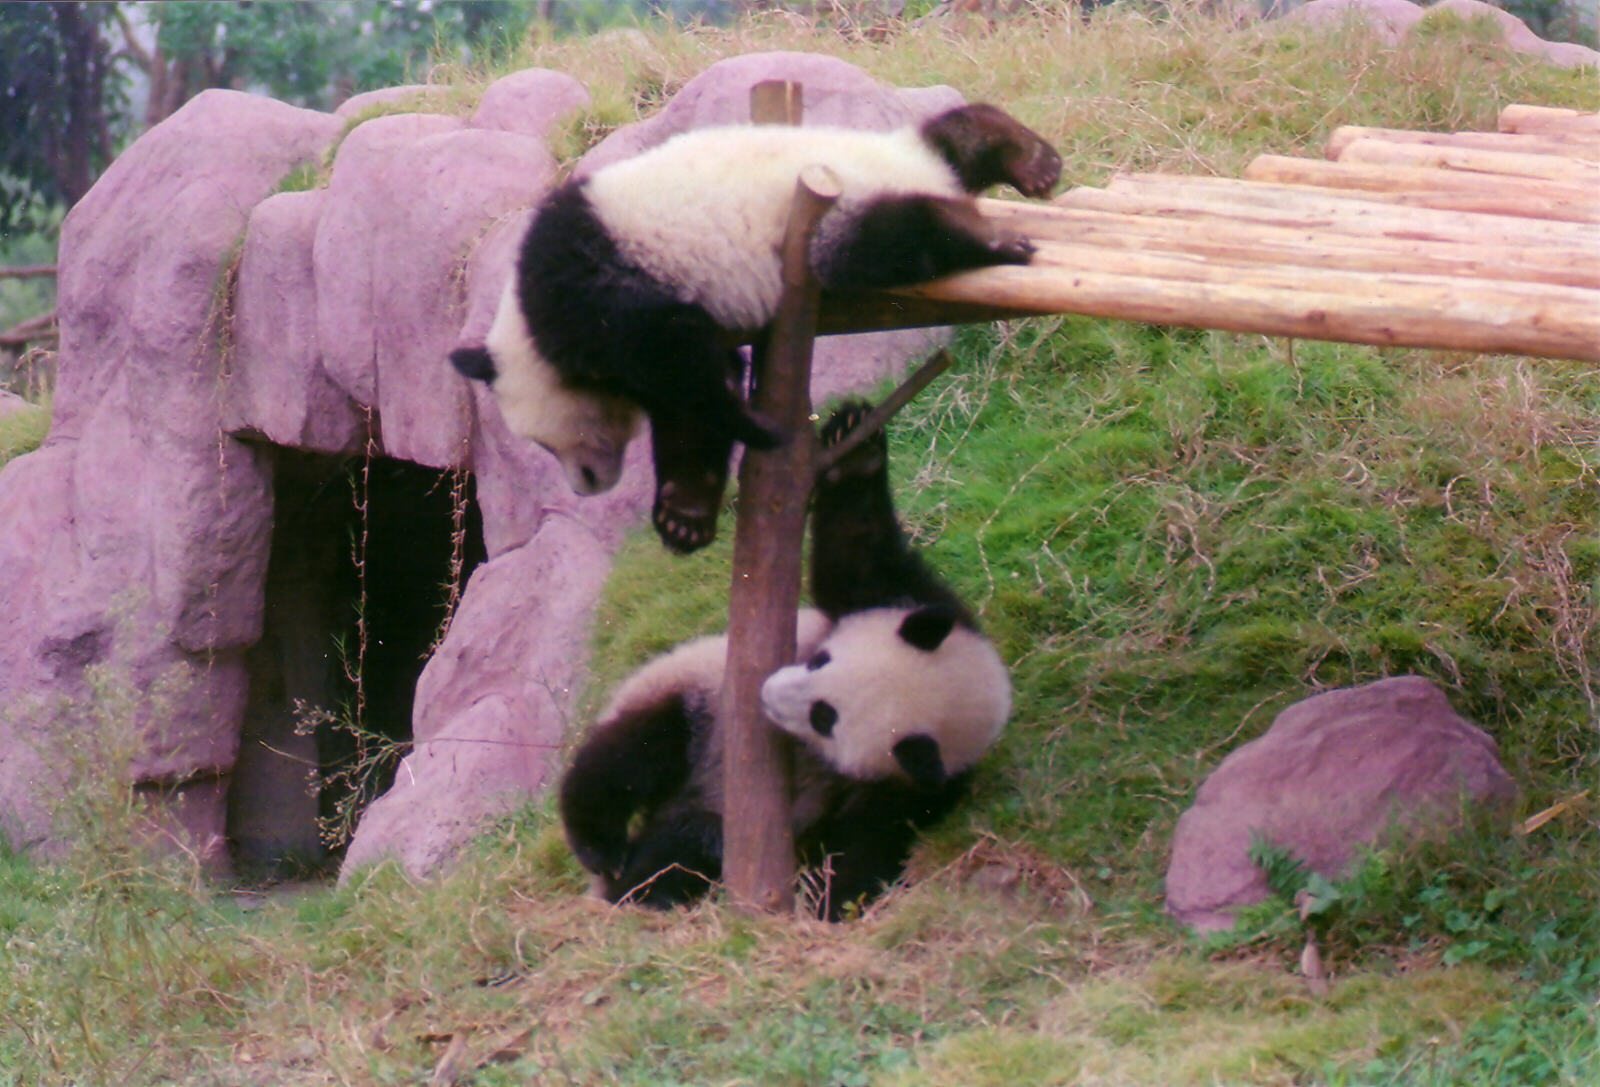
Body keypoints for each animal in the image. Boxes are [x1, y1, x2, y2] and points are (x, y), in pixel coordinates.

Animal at [451, 104, 1062, 553]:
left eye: (544, 443)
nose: (586, 483)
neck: (532, 327)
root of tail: (914, 171)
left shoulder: (600, 293)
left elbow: (684, 372)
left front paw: (759, 429)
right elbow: (694, 398)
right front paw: (685, 515)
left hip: (831, 221)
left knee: (889, 241)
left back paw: (997, 233)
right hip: (885, 162)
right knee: (948, 143)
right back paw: (1025, 156)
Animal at [560, 403, 1011, 922]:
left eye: (824, 718)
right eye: (820, 659)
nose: (765, 693)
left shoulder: (920, 788)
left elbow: (867, 846)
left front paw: (829, 900)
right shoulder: (913, 602)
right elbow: (856, 553)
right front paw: (856, 448)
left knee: (681, 843)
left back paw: (645, 886)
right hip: (692, 701)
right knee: (629, 755)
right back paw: (605, 850)